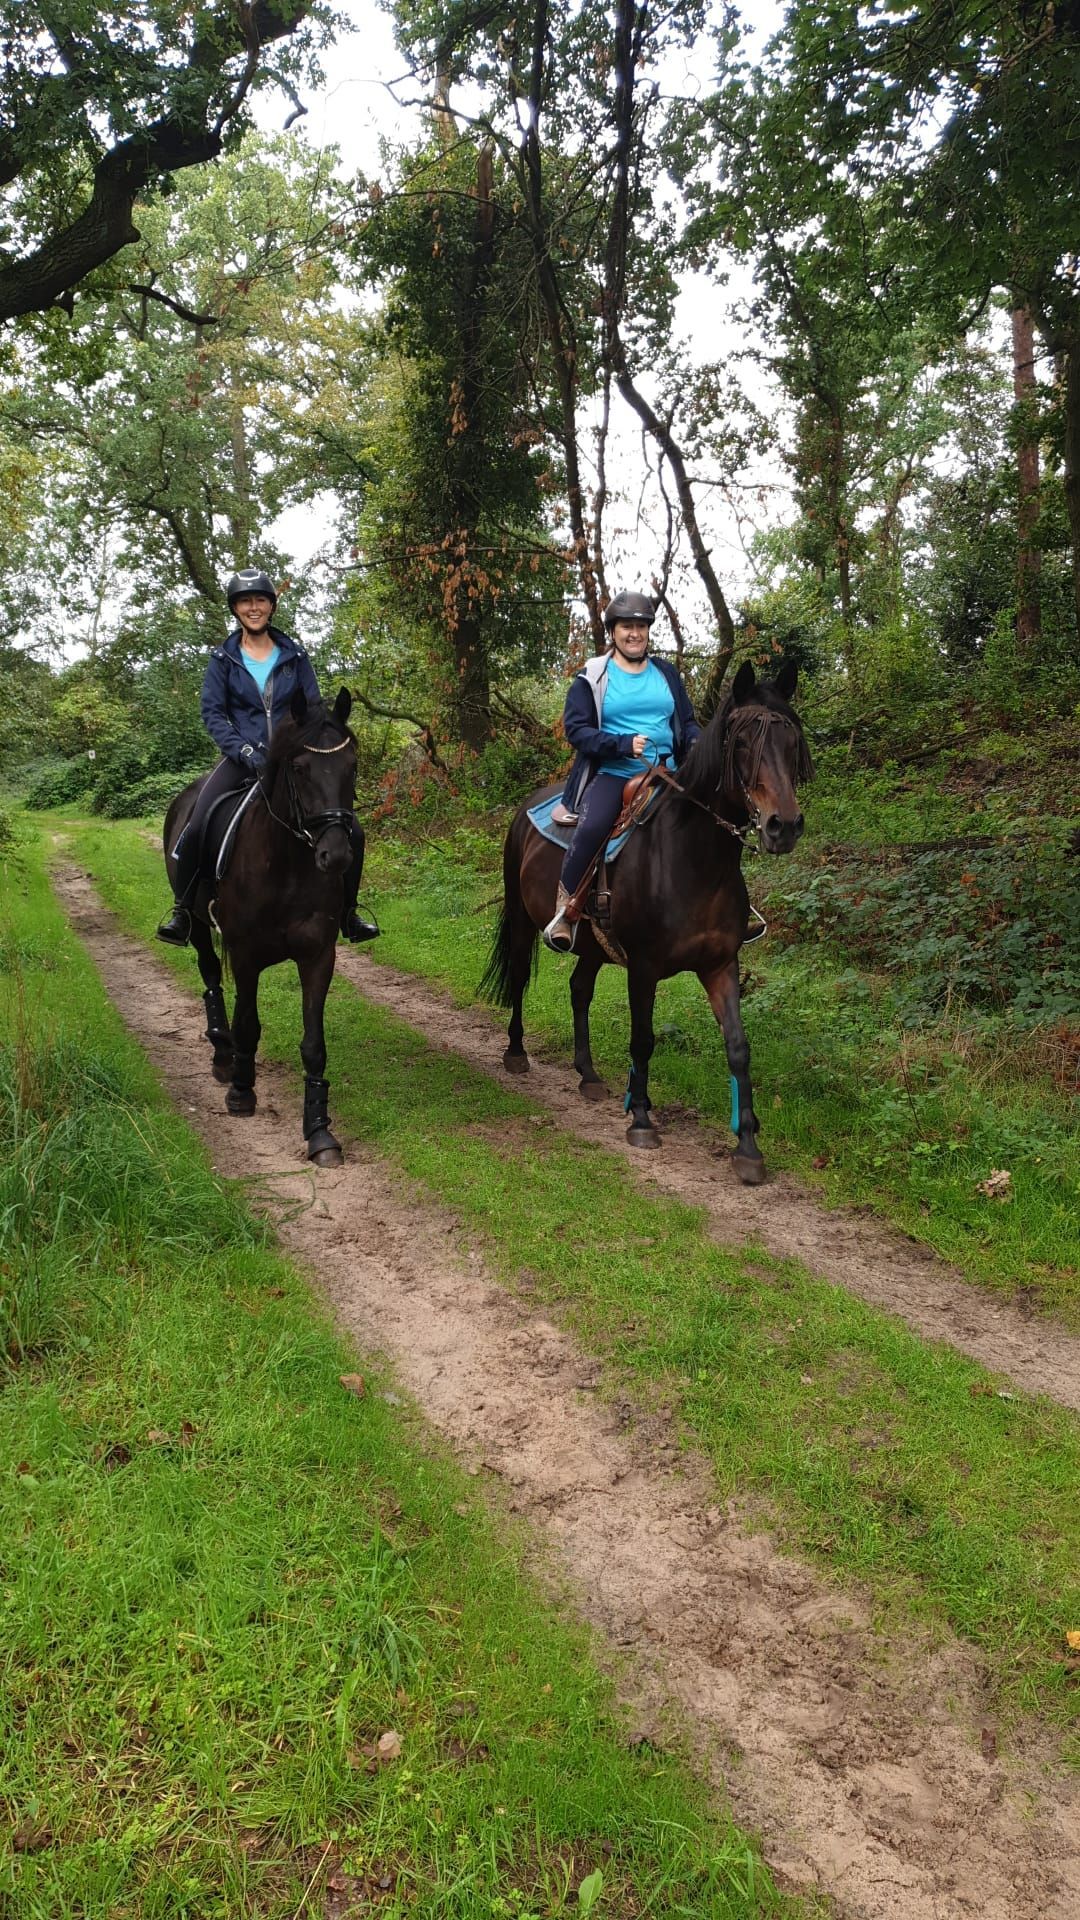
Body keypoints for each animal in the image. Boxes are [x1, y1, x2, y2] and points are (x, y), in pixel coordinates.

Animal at [162, 687, 359, 1167]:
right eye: (300, 768)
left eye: (352, 767)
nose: (336, 856)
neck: (286, 865)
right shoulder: (246, 955)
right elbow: (248, 1024)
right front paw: (241, 1092)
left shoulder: (318, 957)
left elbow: (313, 1044)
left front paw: (319, 1131)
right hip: (199, 927)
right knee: (211, 979)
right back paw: (222, 1055)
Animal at [479, 660, 812, 1184]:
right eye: (741, 742)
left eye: (791, 741)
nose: (785, 826)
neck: (694, 861)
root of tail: (527, 805)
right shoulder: (644, 967)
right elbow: (643, 1039)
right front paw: (639, 1119)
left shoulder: (721, 965)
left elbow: (738, 1048)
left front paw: (748, 1147)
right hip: (520, 920)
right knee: (517, 977)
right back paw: (516, 1054)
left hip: (593, 944)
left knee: (579, 989)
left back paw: (589, 1075)